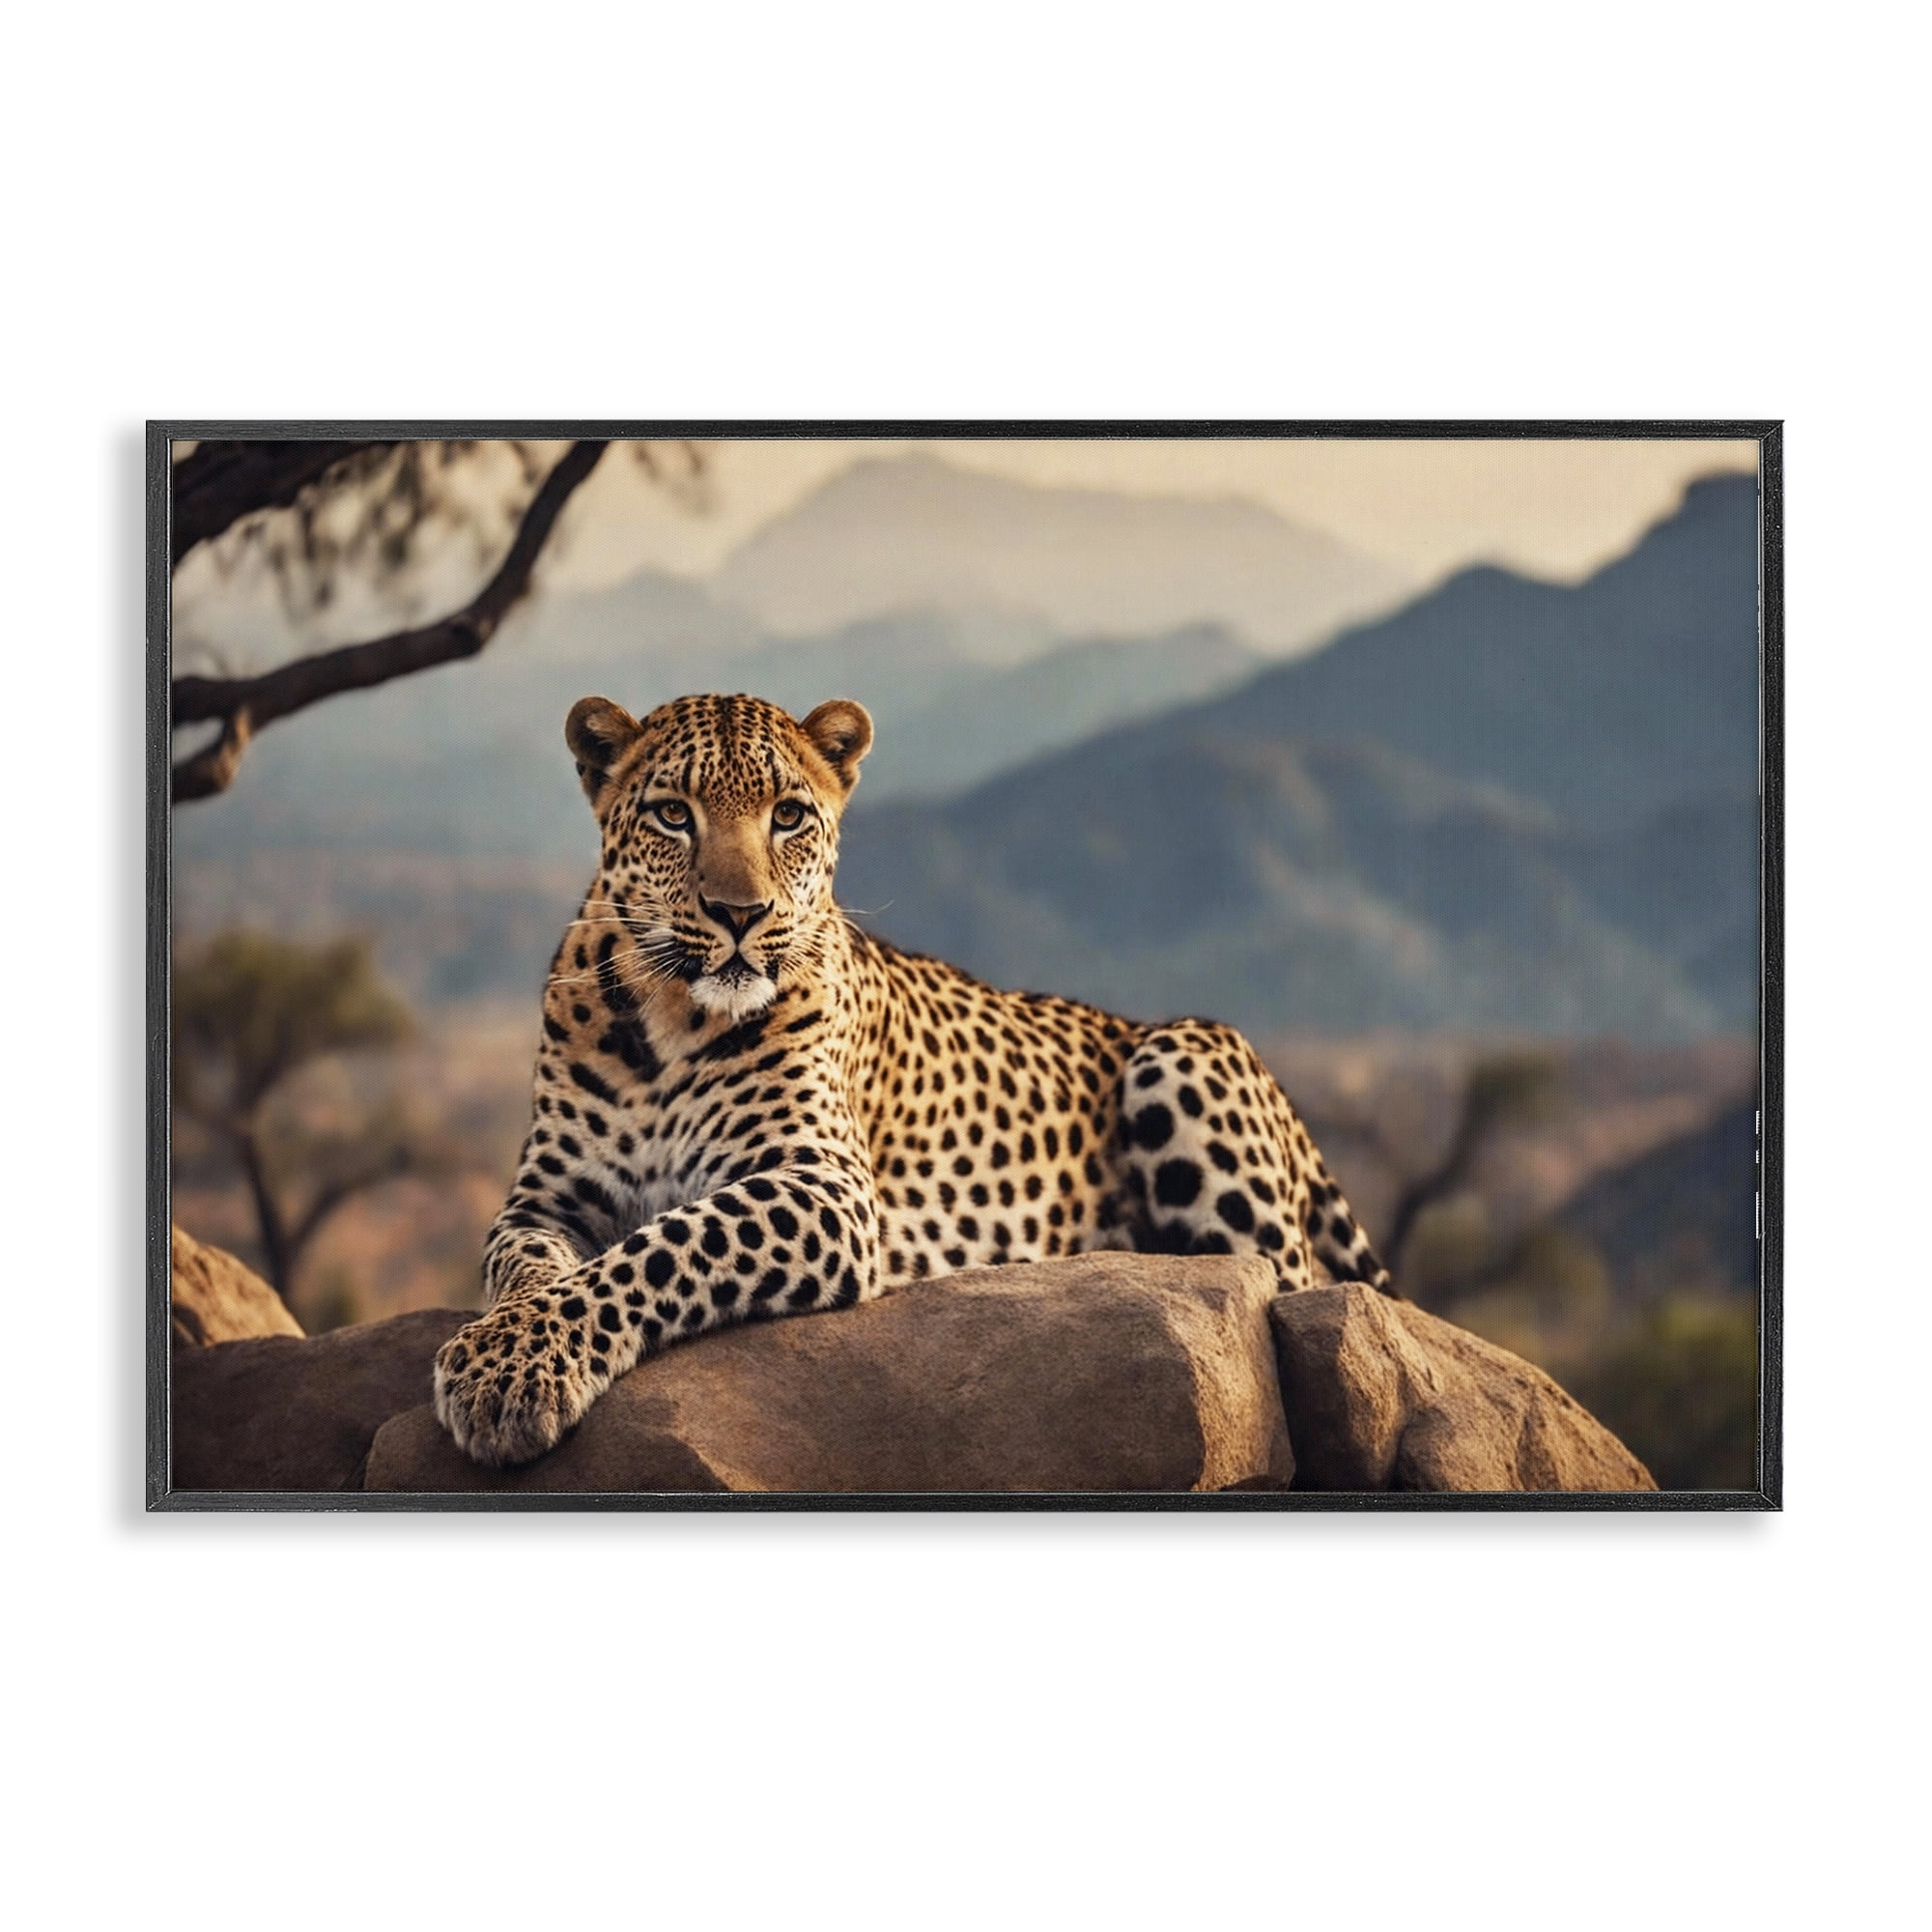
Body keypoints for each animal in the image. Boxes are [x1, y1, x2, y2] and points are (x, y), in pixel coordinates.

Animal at [433, 689, 1393, 1467]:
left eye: (789, 815)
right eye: (673, 814)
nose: (741, 915)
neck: (673, 1016)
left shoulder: (822, 1185)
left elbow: (665, 1245)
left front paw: (507, 1369)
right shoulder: (546, 1196)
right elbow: (530, 1265)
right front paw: (506, 1345)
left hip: (1186, 1058)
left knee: (1284, 1282)